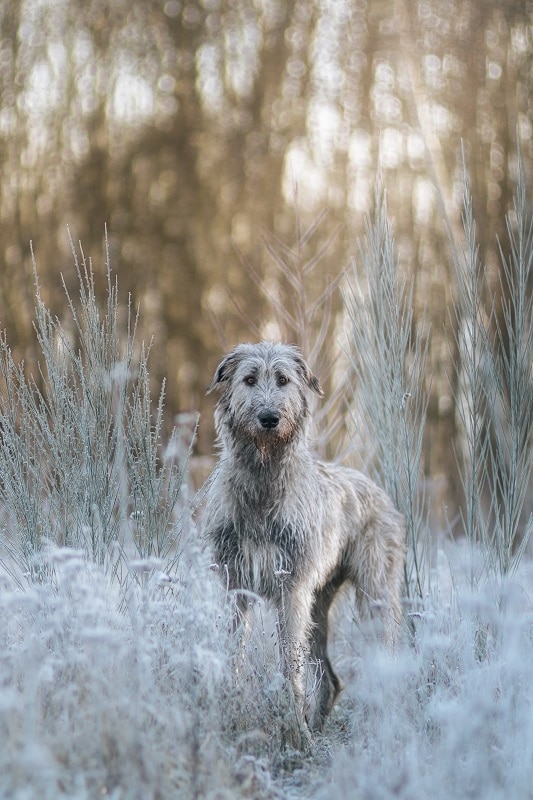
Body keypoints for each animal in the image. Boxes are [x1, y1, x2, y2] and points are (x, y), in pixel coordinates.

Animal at [202, 340, 406, 736]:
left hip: (373, 594)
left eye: (283, 379)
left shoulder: (290, 589)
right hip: (318, 604)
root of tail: (375, 487)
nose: (269, 418)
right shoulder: (236, 586)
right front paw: (229, 713)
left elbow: (288, 664)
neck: (263, 483)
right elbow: (234, 653)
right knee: (330, 678)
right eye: (249, 379)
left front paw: (292, 730)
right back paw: (316, 729)